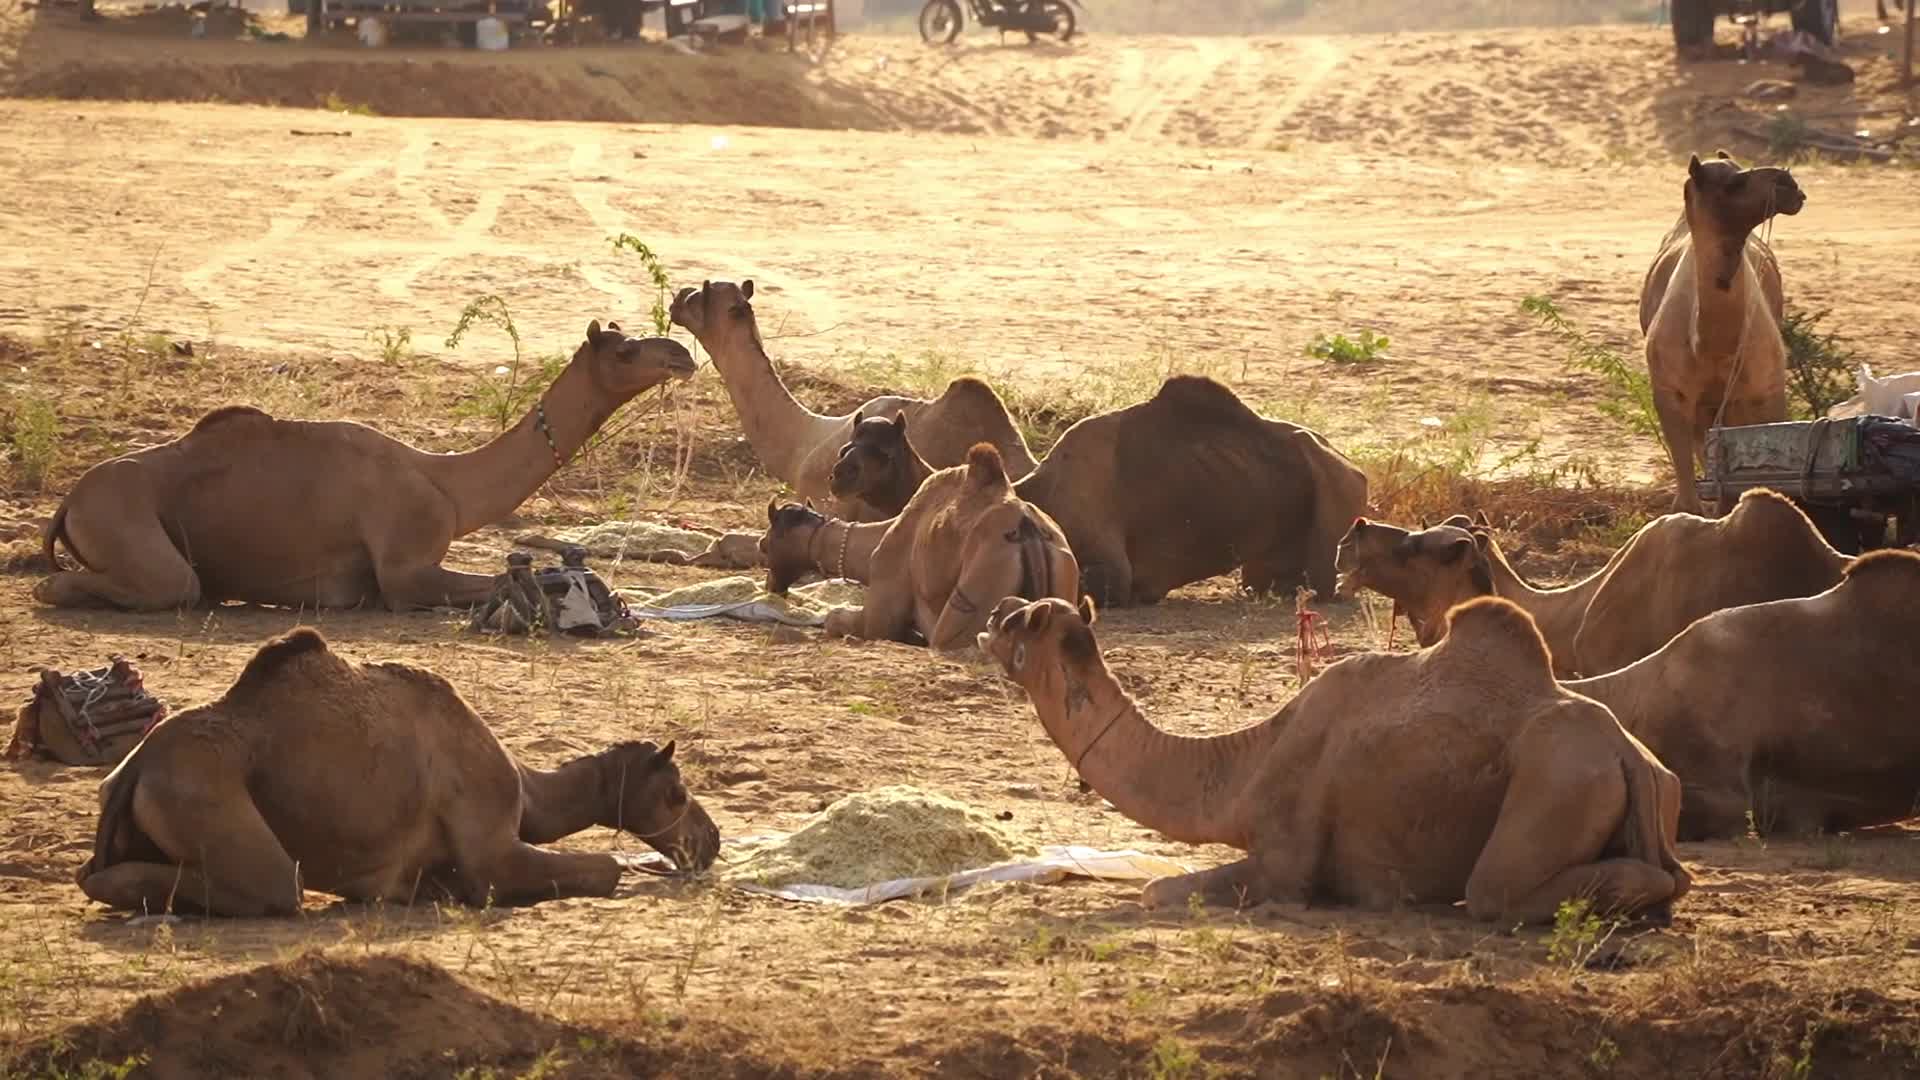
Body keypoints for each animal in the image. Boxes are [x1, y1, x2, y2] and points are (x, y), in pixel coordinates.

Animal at [36, 322, 695, 612]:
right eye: (625, 350)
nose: (681, 355)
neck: (447, 486)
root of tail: (68, 502)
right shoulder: (404, 567)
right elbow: (499, 581)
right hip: (119, 516)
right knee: (170, 584)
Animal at [75, 627, 720, 917]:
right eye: (675, 792)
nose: (710, 840)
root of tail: (136, 769)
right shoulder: (489, 841)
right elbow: (603, 867)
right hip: (208, 795)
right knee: (275, 885)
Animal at [824, 375, 1370, 606]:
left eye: (883, 452)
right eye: (850, 441)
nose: (839, 473)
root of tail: (1354, 466)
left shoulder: (1112, 570)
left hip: (1336, 504)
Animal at [977, 594, 1690, 922]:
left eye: (1024, 622)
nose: (995, 610)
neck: (1244, 769)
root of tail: (1627, 757)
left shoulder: (1286, 861)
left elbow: (1158, 891)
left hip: (1555, 783)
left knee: (1496, 891)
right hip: (1654, 784)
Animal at [1640, 151, 1805, 513]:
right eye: (1733, 183)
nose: (1790, 184)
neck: (1712, 347)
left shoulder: (1767, 392)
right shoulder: (1670, 395)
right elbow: (1688, 499)